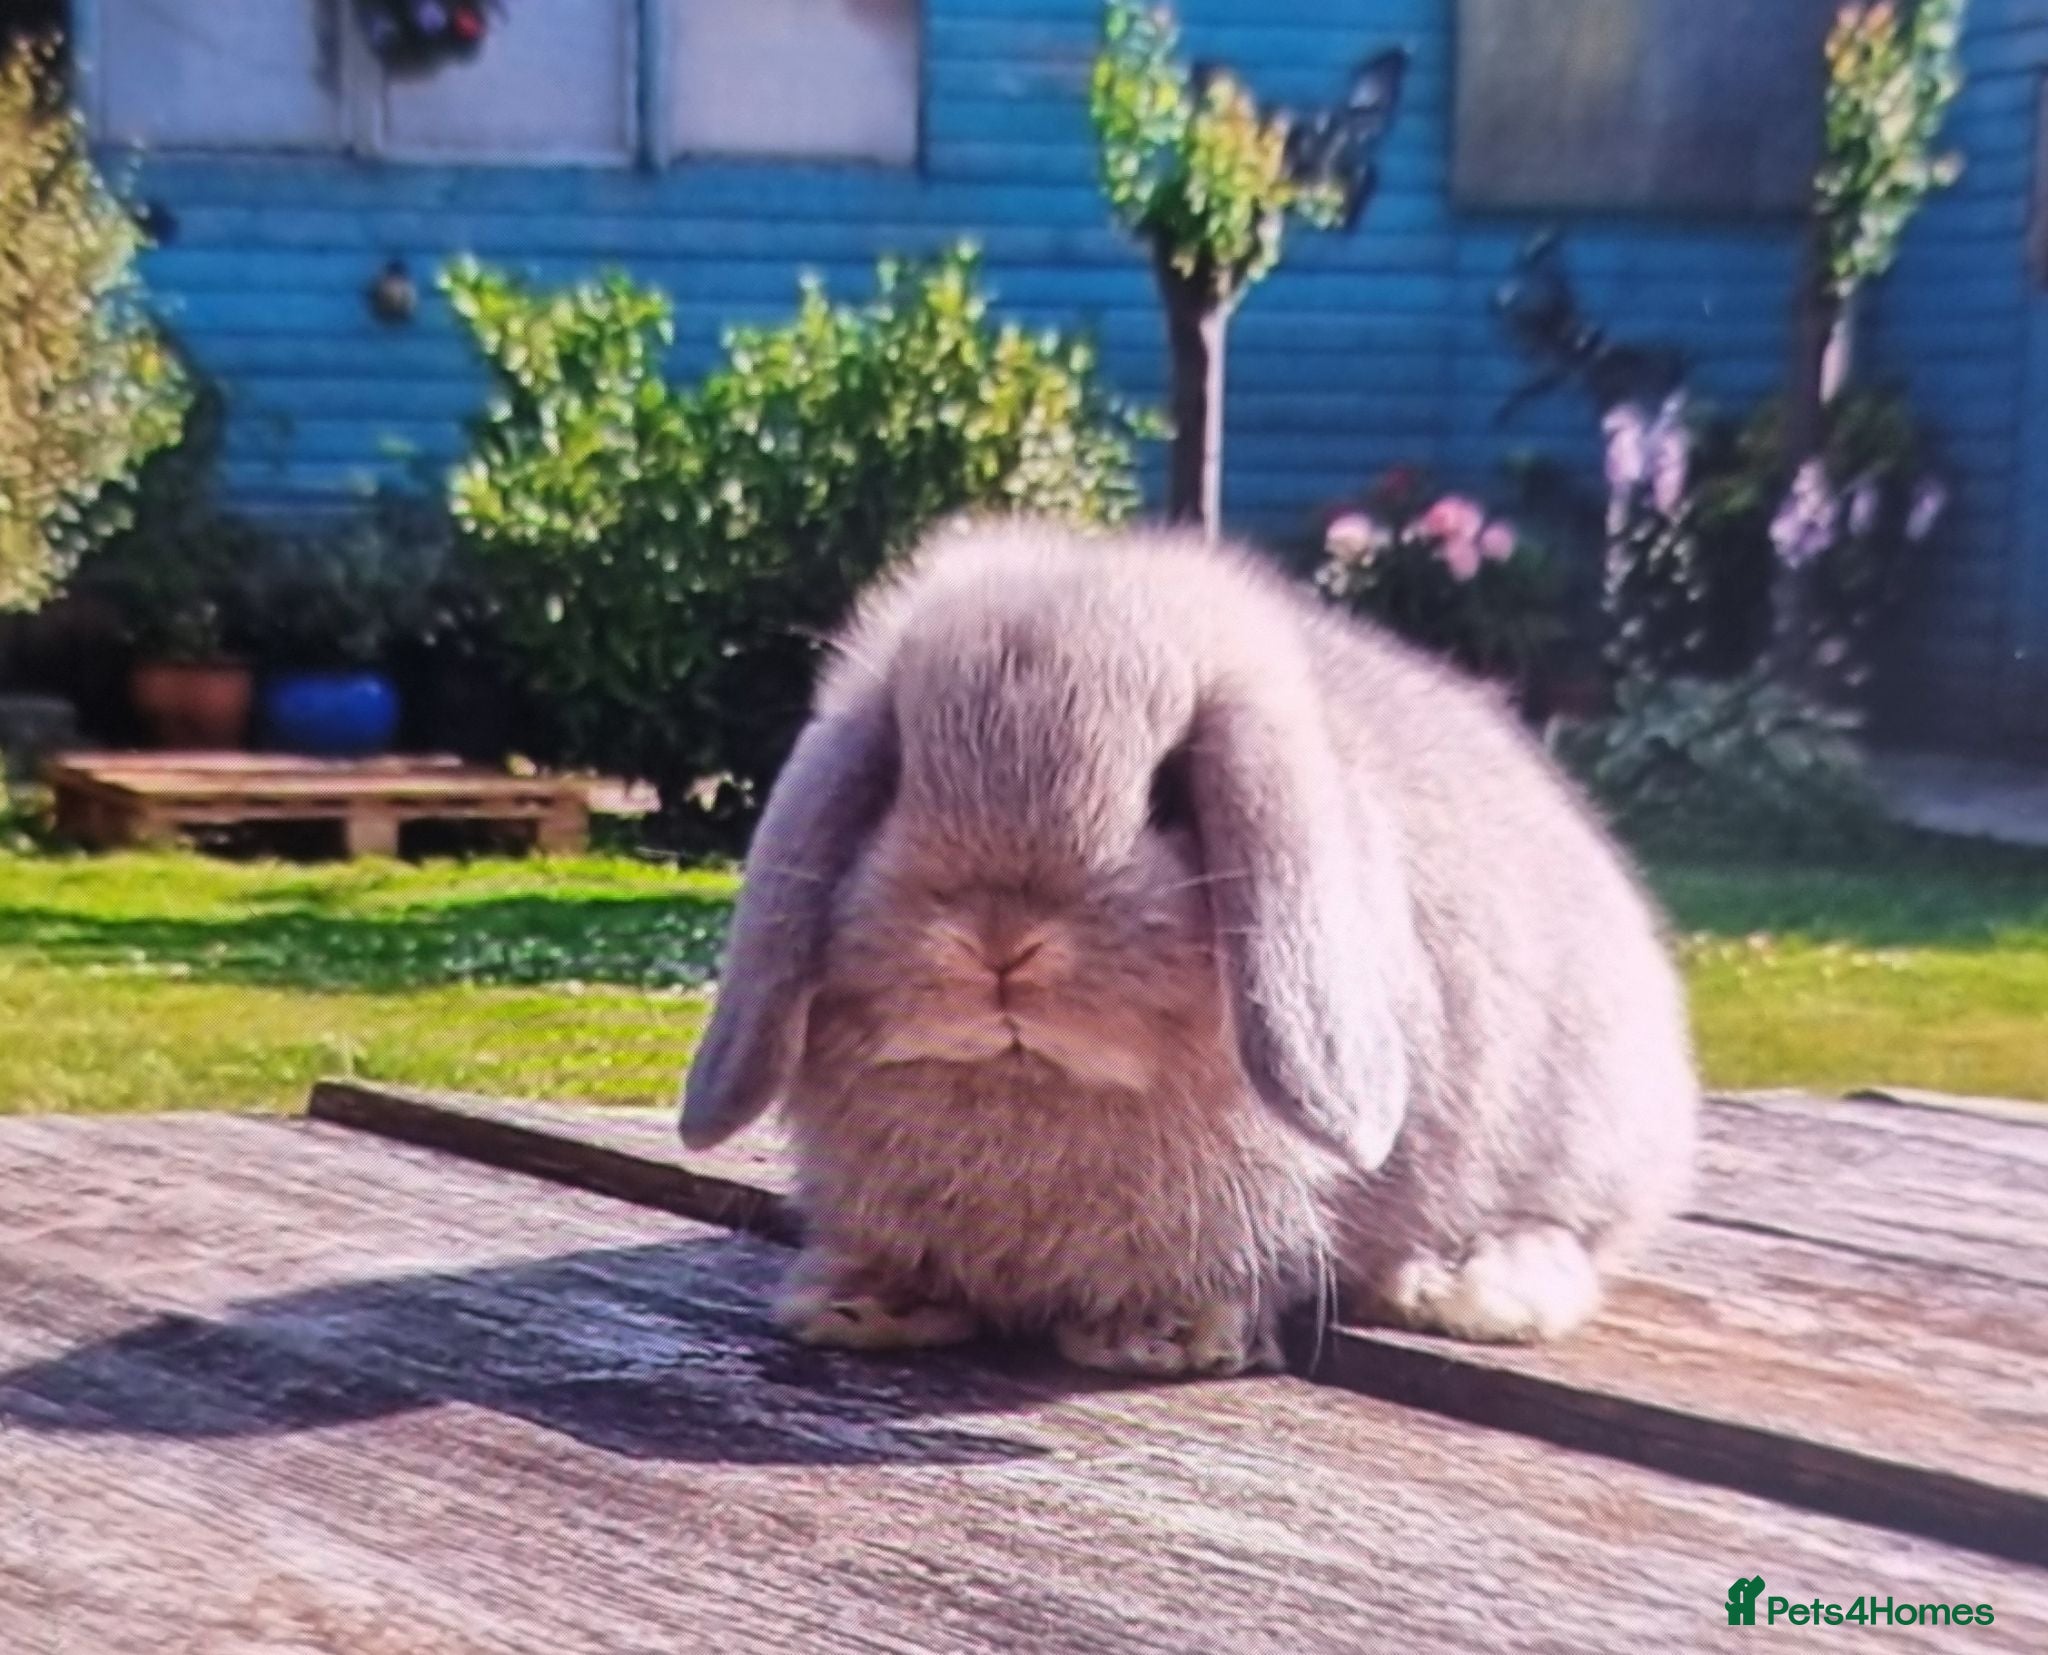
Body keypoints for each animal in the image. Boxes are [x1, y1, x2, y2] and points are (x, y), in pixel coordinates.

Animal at [679, 516, 1697, 1378]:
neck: (1029, 1085)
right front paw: (858, 1307)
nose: (997, 941)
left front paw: (1159, 1337)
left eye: (1170, 794)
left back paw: (1464, 1288)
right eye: (891, 781)